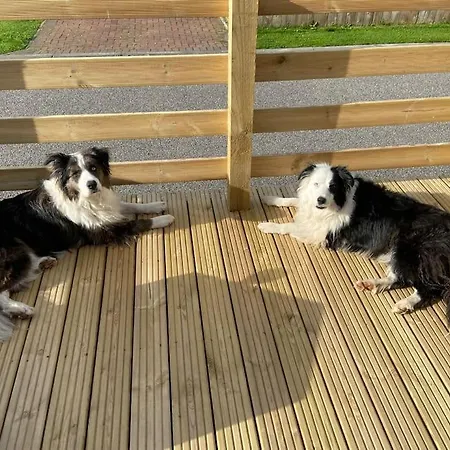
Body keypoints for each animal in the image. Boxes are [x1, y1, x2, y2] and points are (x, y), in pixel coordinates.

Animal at [0, 147, 174, 341]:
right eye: (75, 174)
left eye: (93, 168)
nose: (92, 184)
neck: (80, 197)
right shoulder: (103, 232)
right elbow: (138, 222)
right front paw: (164, 219)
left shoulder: (108, 211)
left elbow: (129, 205)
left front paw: (156, 205)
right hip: (15, 254)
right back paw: (21, 310)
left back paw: (43, 265)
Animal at [258, 162, 450, 320]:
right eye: (316, 184)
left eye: (332, 186)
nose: (321, 199)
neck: (337, 201)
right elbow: (294, 200)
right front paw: (270, 198)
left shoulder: (321, 234)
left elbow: (289, 226)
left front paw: (267, 225)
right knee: (400, 277)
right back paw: (372, 284)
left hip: (409, 248)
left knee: (428, 288)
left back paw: (405, 303)